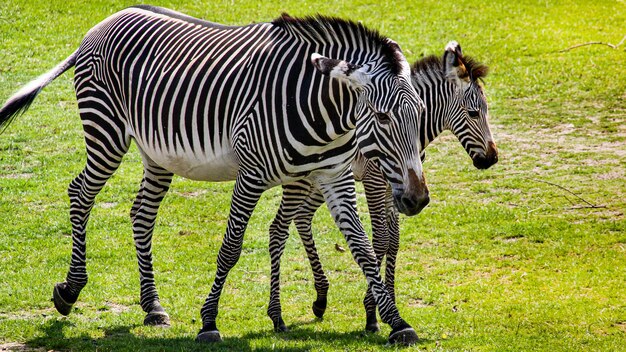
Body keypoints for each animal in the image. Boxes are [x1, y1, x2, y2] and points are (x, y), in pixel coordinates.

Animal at [0, 4, 428, 346]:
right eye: (383, 118)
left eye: (421, 115)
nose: (417, 199)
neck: (326, 118)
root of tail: (105, 21)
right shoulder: (251, 174)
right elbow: (231, 248)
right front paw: (208, 322)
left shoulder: (334, 176)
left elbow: (364, 250)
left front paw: (397, 322)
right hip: (105, 131)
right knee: (80, 193)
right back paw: (71, 289)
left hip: (158, 152)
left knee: (141, 214)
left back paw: (152, 306)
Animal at [264, 41, 498, 332]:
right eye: (474, 113)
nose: (492, 158)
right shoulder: (376, 181)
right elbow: (381, 240)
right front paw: (372, 313)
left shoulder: (398, 189)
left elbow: (394, 241)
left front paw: (389, 300)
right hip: (301, 180)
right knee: (279, 227)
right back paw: (279, 315)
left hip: (321, 180)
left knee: (302, 217)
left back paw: (320, 299)